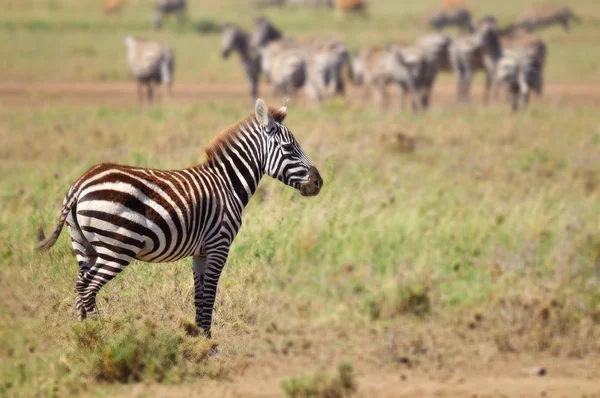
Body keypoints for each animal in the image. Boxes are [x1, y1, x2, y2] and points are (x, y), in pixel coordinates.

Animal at [36, 98, 324, 338]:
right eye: (288, 148)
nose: (319, 182)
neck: (227, 183)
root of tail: (80, 184)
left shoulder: (200, 251)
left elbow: (199, 295)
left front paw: (198, 337)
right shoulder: (219, 245)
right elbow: (210, 294)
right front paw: (209, 344)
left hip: (84, 246)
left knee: (79, 287)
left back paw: (82, 335)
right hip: (115, 248)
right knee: (88, 290)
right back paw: (99, 336)